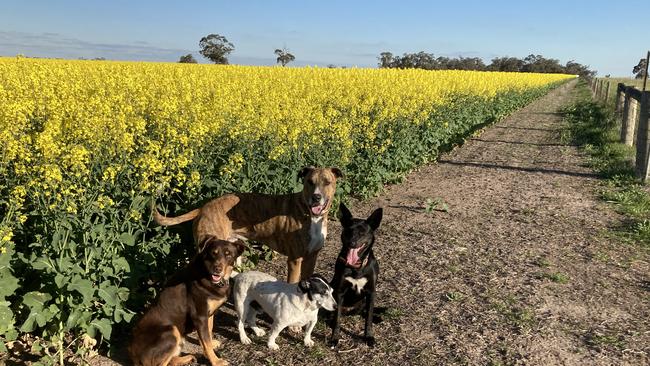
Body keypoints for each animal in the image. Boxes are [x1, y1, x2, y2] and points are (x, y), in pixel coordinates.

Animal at [129, 237, 246, 366]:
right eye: (213, 253)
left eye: (228, 254)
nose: (217, 269)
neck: (207, 274)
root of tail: (133, 354)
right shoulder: (200, 316)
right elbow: (206, 342)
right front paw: (216, 361)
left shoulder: (209, 314)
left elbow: (208, 333)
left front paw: (212, 345)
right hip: (171, 331)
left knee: (171, 360)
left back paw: (189, 358)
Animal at [330, 204, 380, 348]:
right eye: (348, 231)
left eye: (362, 233)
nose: (352, 243)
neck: (356, 267)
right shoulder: (339, 293)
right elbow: (337, 320)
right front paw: (334, 339)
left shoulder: (371, 293)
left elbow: (368, 318)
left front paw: (368, 337)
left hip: (363, 301)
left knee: (364, 312)